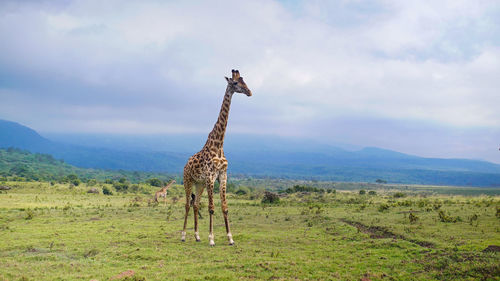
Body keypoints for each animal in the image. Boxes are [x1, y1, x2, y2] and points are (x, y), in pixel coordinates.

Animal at [182, 69, 252, 245]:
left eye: (245, 81)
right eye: (235, 83)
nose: (249, 92)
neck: (219, 145)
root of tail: (185, 165)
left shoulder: (223, 175)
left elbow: (224, 207)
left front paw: (230, 238)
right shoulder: (210, 177)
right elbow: (212, 208)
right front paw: (212, 239)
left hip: (199, 184)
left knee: (196, 204)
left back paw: (197, 236)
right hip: (188, 180)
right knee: (187, 204)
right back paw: (183, 235)